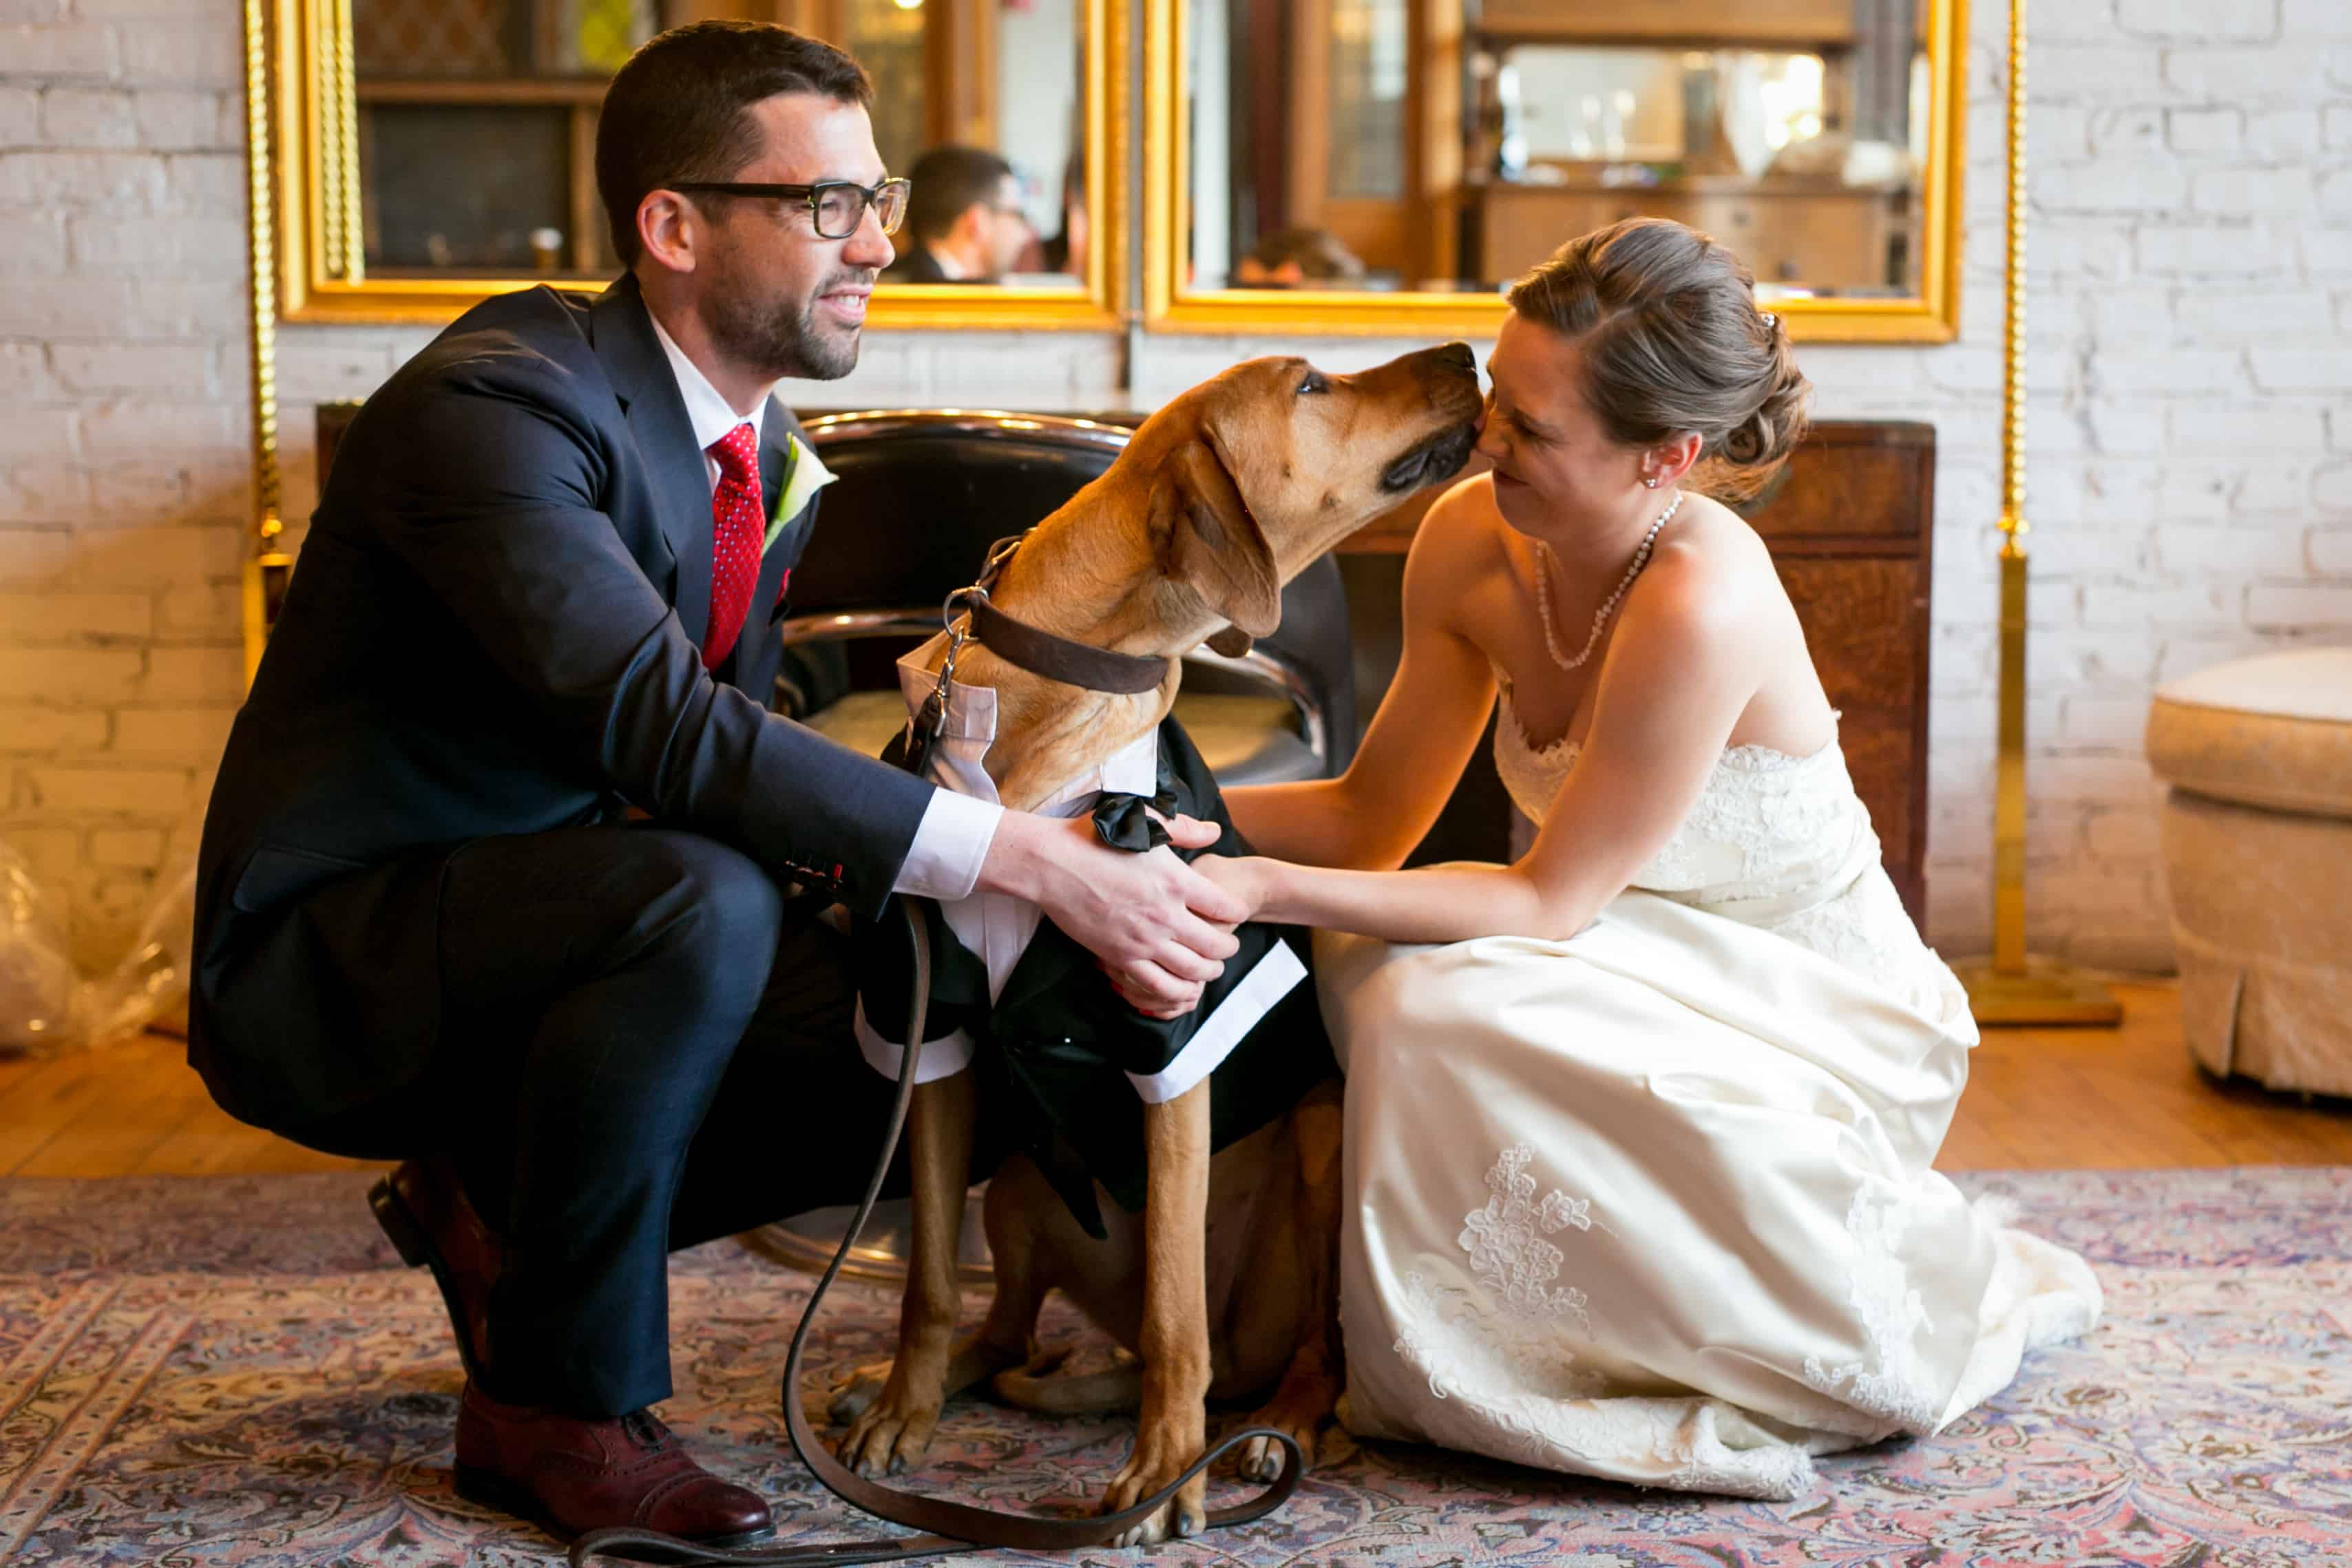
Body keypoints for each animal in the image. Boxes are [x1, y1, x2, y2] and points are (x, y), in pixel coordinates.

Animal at [828, 341, 1477, 1542]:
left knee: (1296, 1350)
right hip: (1023, 1180)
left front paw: (1169, 1470)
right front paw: (903, 1408)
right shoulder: (927, 1033)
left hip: (1320, 1135)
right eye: (1311, 386)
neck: (1066, 688)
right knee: (1008, 1329)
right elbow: (930, 1275)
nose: (1468, 349)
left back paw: (1274, 1426)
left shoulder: (1172, 1038)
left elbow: (1180, 1302)